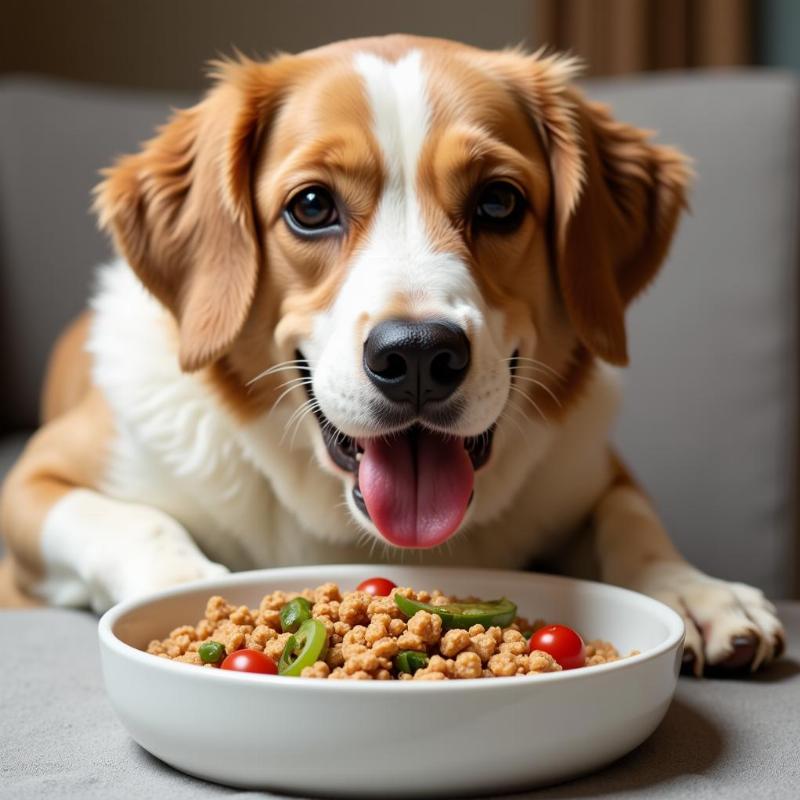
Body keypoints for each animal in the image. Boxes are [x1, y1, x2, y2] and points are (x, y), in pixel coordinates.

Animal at [0, 37, 784, 676]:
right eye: (311, 206)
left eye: (499, 202)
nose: (418, 356)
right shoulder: (33, 485)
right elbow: (132, 520)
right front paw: (183, 585)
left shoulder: (594, 470)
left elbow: (633, 519)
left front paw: (695, 593)